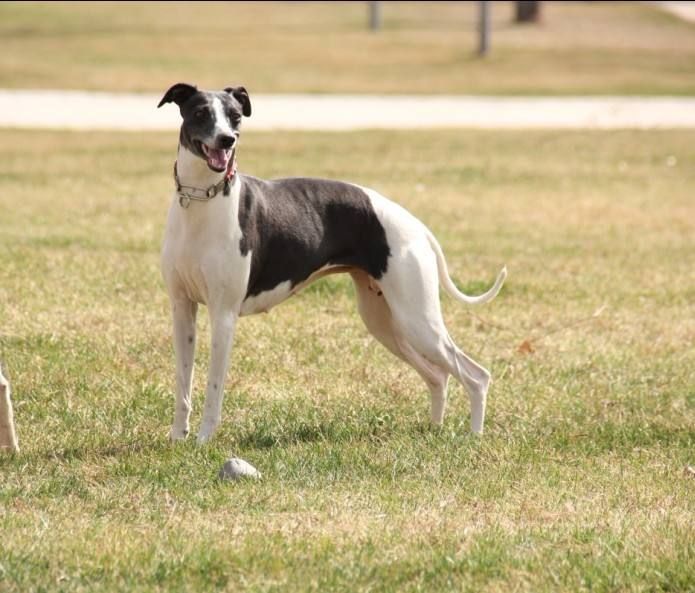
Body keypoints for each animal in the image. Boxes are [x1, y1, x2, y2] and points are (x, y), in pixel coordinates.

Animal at [158, 84, 506, 444]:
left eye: (235, 116)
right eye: (200, 112)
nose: (227, 140)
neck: (202, 200)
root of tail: (416, 225)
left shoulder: (223, 315)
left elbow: (213, 388)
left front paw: (203, 441)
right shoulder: (182, 309)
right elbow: (183, 382)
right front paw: (178, 438)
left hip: (418, 321)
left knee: (475, 374)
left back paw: (475, 435)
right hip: (385, 323)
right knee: (439, 376)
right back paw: (435, 428)